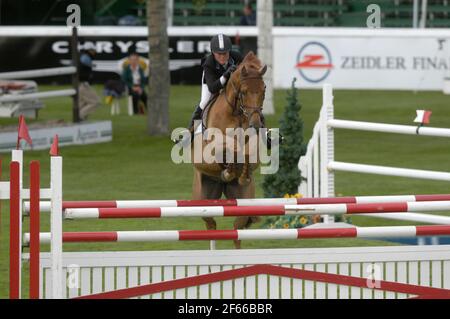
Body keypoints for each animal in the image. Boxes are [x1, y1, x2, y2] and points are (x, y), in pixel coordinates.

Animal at [191, 52, 268, 250]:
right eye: (244, 92)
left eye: (264, 90)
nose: (256, 125)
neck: (237, 114)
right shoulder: (211, 151)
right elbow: (229, 147)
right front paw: (229, 170)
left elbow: (246, 152)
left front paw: (241, 174)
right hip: (203, 198)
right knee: (211, 224)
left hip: (243, 198)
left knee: (237, 229)